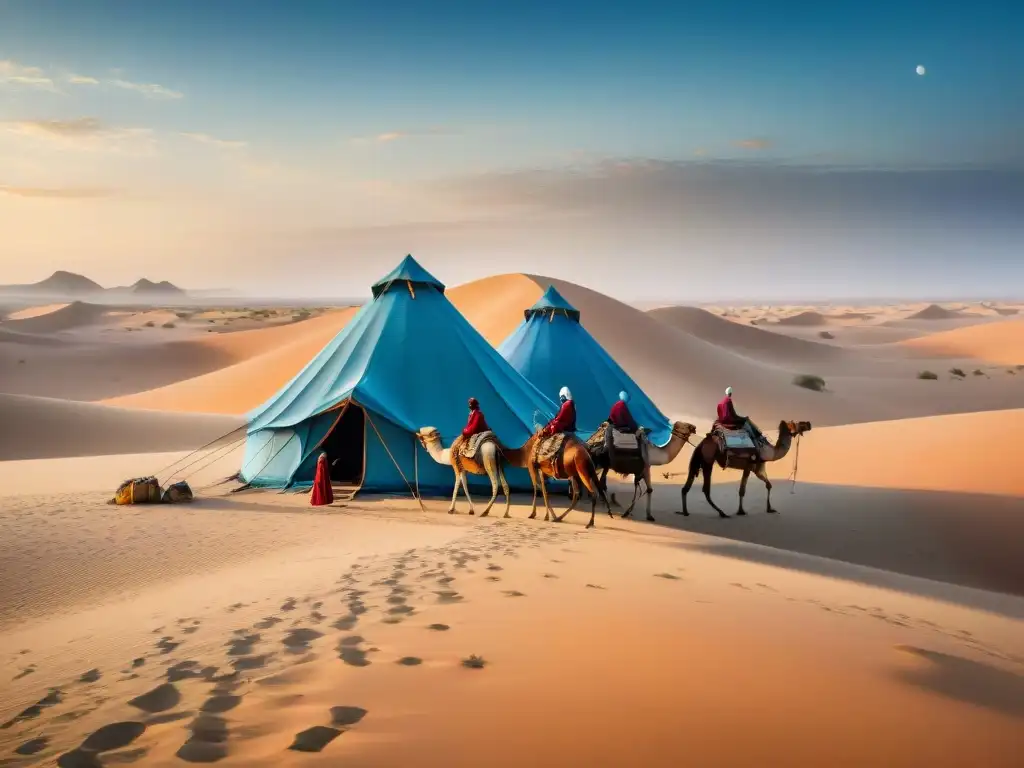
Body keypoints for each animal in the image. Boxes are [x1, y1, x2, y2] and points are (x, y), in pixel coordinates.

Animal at [675, 417, 811, 520]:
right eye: (796, 423)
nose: (808, 423)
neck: (768, 452)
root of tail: (702, 443)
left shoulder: (758, 468)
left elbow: (769, 485)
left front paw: (769, 508)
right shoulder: (749, 466)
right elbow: (742, 490)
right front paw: (741, 511)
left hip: (699, 460)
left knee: (686, 487)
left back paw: (685, 511)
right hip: (708, 461)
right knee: (706, 490)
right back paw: (722, 513)